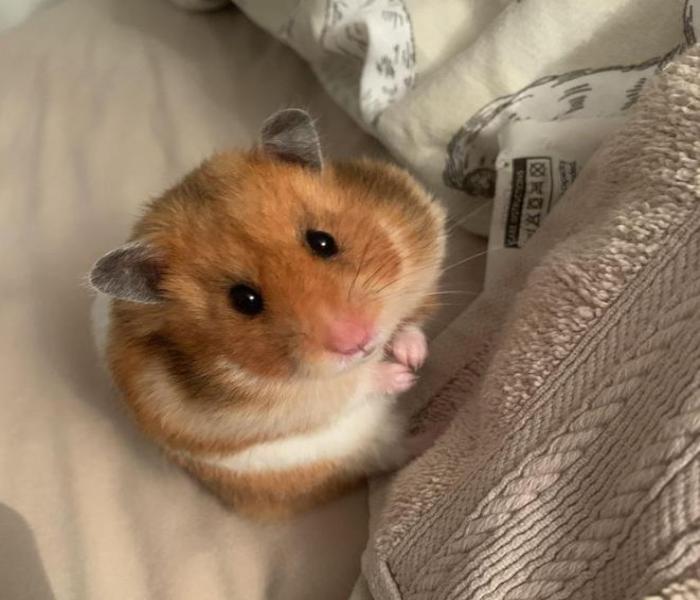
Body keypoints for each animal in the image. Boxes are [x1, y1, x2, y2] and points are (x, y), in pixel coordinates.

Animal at [89, 109, 446, 518]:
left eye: (323, 241)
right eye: (244, 300)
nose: (357, 341)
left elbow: (412, 318)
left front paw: (413, 354)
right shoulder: (263, 411)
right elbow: (342, 388)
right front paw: (403, 375)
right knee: (391, 453)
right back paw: (434, 430)